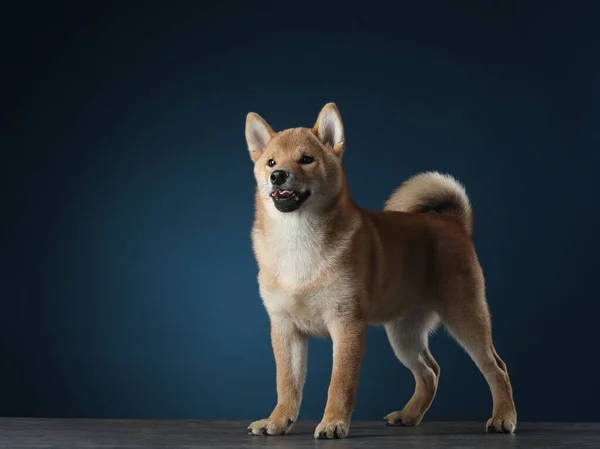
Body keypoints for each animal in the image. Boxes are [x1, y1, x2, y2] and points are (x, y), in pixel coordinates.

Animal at [244, 102, 516, 438]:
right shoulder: (285, 328)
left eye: (306, 159)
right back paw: (409, 415)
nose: (278, 176)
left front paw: (333, 422)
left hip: (466, 317)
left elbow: (340, 383)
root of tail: (452, 222)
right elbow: (287, 384)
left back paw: (504, 417)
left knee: (496, 368)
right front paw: (278, 420)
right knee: (430, 371)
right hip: (403, 333)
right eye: (271, 162)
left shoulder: (346, 325)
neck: (298, 240)